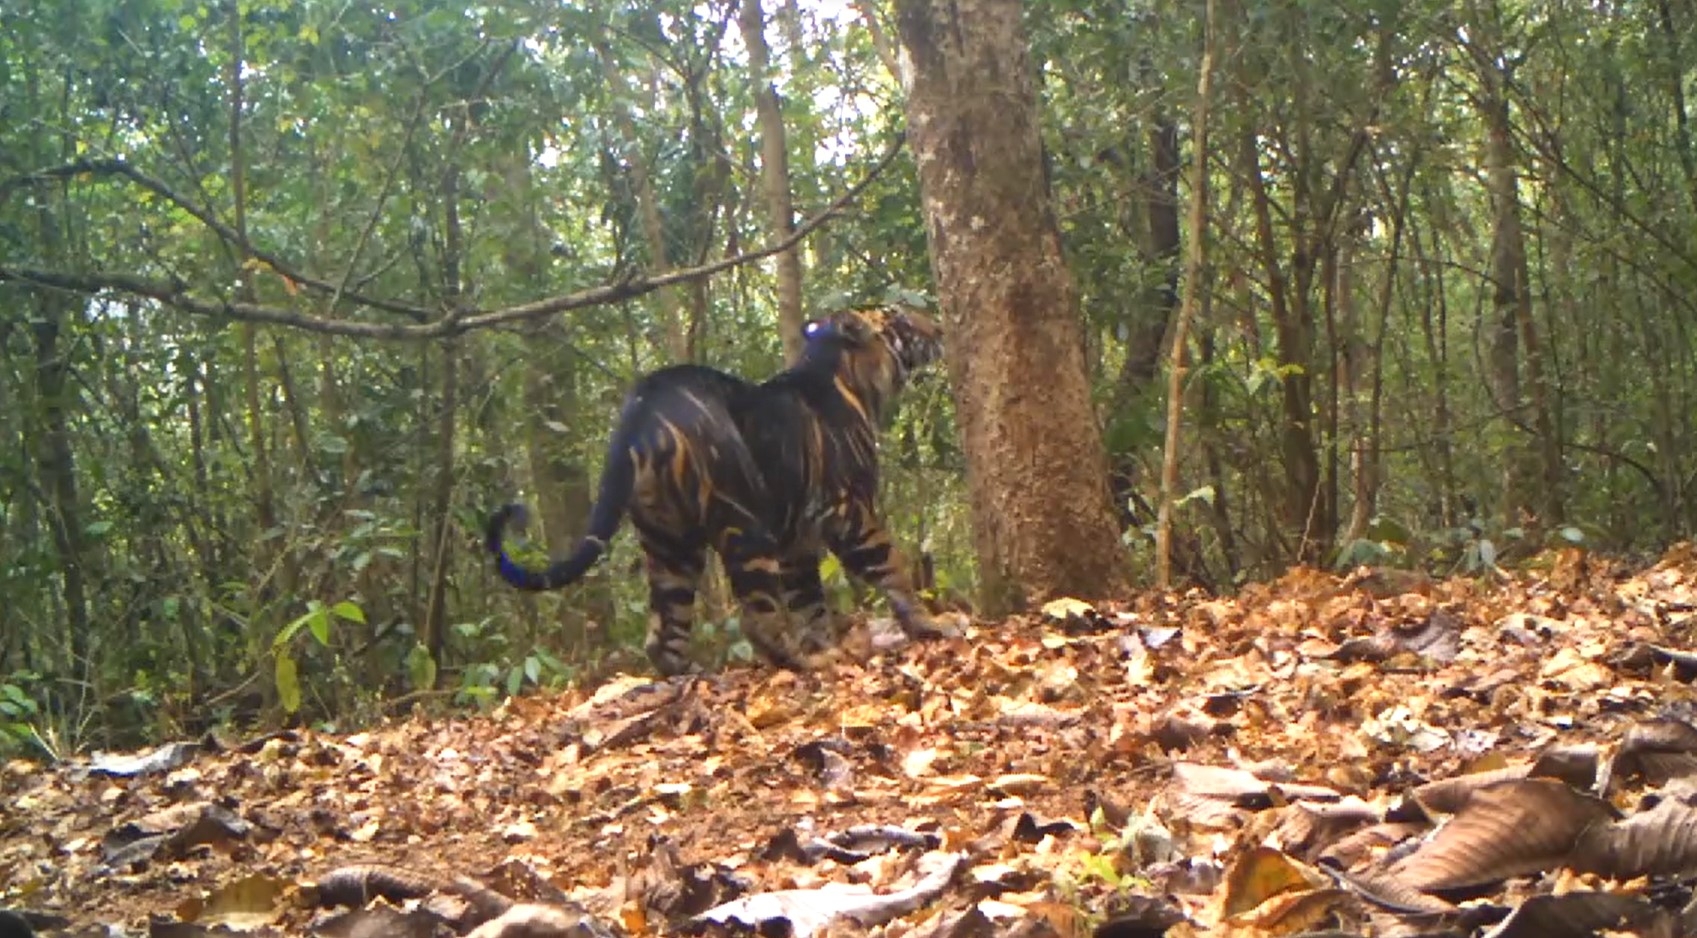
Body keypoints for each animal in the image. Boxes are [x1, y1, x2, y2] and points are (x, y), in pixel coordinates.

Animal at [484, 304, 955, 676]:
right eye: (898, 317)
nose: (939, 327)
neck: (847, 376)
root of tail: (640, 410)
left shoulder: (798, 539)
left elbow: (810, 602)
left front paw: (828, 645)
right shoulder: (848, 509)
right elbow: (890, 565)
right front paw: (933, 625)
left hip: (669, 543)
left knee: (663, 633)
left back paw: (698, 675)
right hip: (743, 524)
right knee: (757, 620)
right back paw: (804, 664)